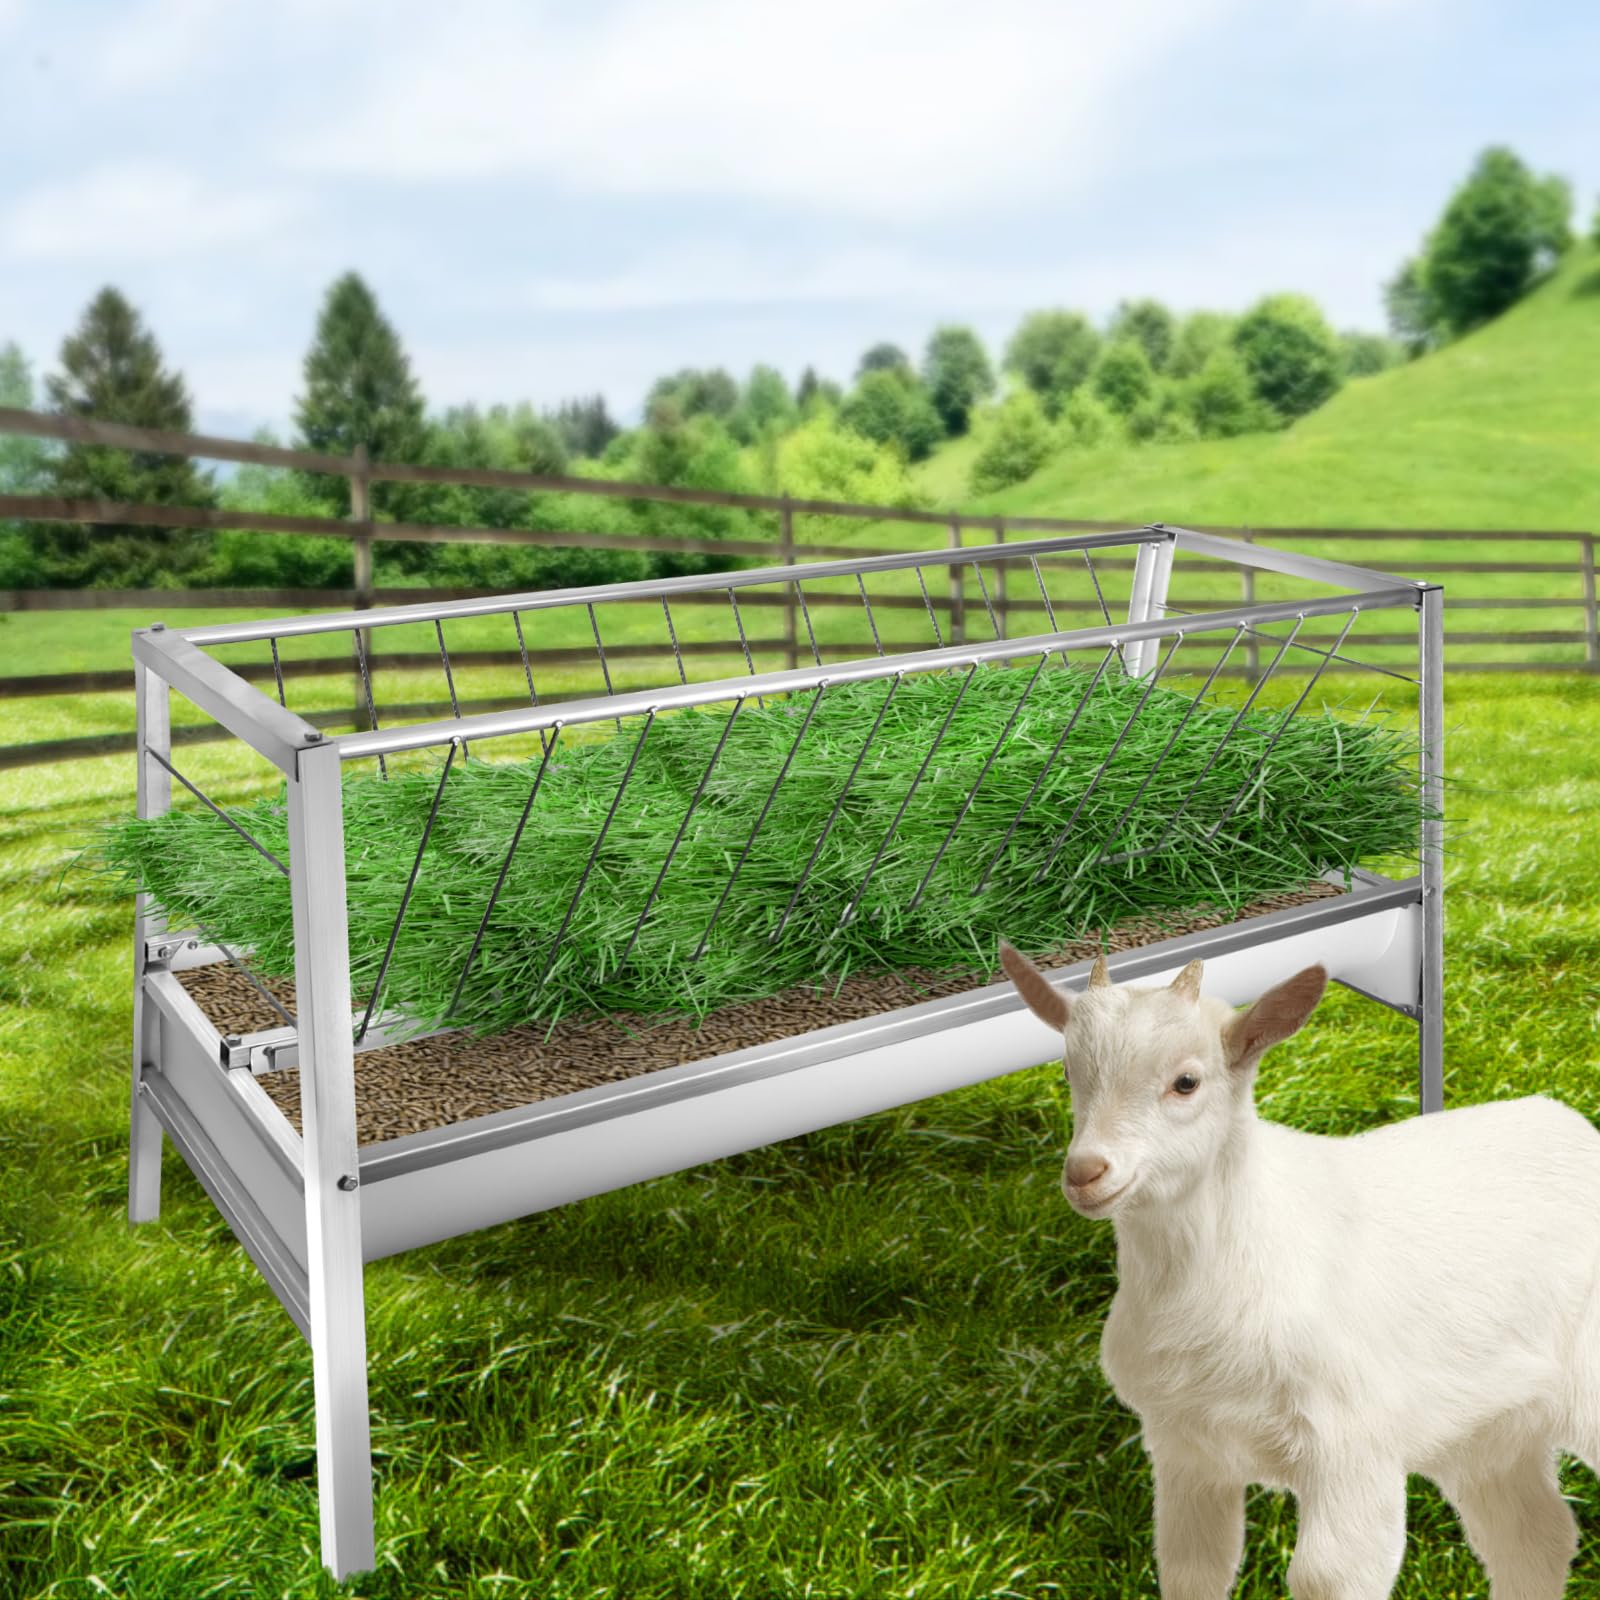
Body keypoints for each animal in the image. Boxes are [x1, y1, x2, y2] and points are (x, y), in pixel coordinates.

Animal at [999, 942, 1600, 1600]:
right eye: (1068, 1073)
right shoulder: (1186, 1448)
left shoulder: (1350, 1444)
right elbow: (1191, 1565)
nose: (1086, 1172)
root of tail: (1570, 1122)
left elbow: (1326, 1576)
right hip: (1488, 1429)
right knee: (1535, 1537)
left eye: (1186, 1081)